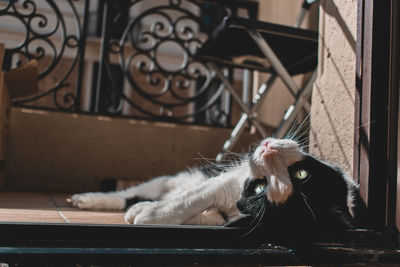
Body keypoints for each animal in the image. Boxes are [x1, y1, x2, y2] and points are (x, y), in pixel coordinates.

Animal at [70, 138, 368, 237]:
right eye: (302, 174)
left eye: (260, 191)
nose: (268, 150)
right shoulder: (225, 181)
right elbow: (191, 199)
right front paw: (153, 212)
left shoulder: (225, 216)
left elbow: (195, 214)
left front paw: (147, 215)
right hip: (175, 178)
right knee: (129, 193)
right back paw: (86, 199)